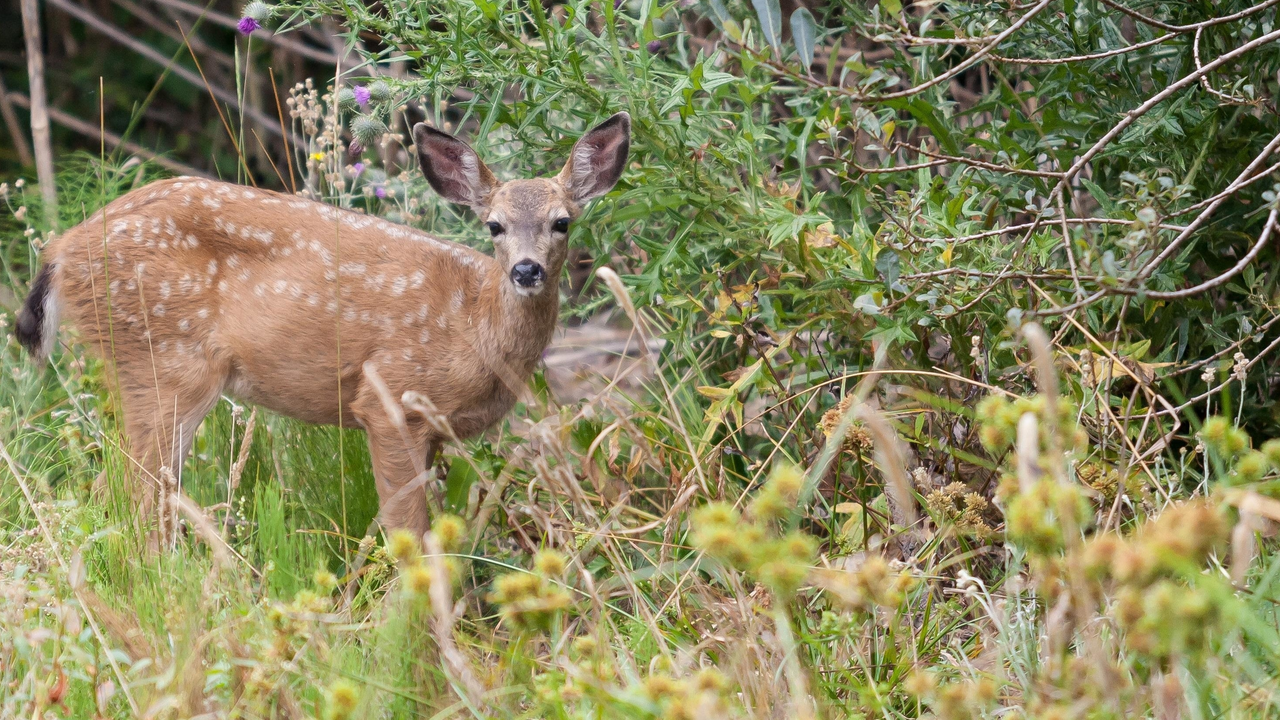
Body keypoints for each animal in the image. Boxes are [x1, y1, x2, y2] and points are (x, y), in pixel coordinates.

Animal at [14, 112, 631, 540]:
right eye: (494, 225)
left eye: (562, 222)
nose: (526, 270)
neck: (473, 327)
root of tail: (60, 251)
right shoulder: (389, 398)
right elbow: (410, 532)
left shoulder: (436, 430)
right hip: (162, 359)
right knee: (132, 492)